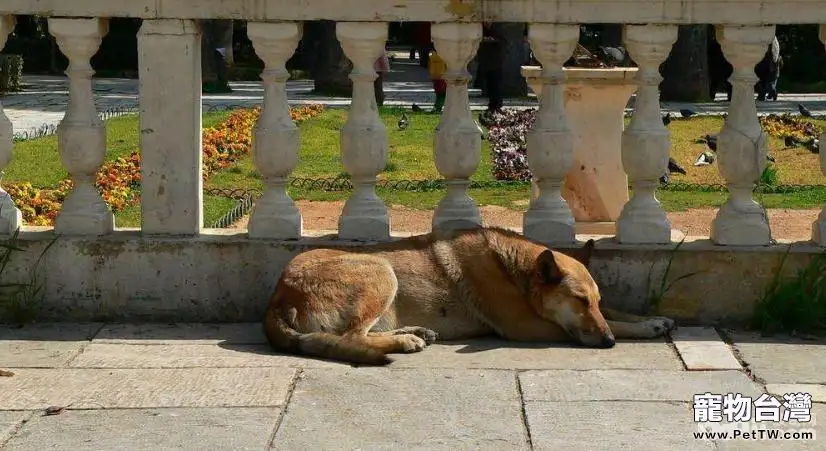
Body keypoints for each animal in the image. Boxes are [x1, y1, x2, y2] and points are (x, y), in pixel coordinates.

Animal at [266, 228, 676, 366]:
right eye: (579, 301)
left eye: (593, 299)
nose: (606, 343)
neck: (515, 270)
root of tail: (277, 297)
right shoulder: (529, 327)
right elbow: (617, 324)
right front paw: (641, 329)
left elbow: (619, 312)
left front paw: (655, 320)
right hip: (381, 271)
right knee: (352, 336)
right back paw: (406, 341)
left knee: (360, 335)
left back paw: (414, 333)